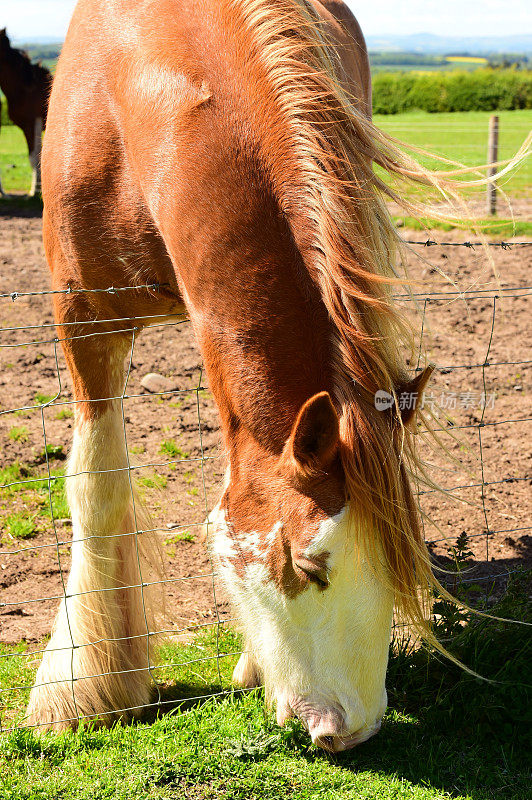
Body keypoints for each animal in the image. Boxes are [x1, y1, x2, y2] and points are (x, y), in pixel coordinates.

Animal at [25, 0, 440, 752]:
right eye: (306, 566)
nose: (351, 730)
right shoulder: (82, 319)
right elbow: (95, 490)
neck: (140, 81)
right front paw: (78, 692)